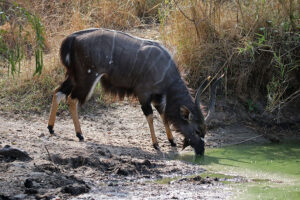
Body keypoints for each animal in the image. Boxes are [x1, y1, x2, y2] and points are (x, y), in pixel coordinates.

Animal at [47, 28, 223, 155]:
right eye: (197, 130)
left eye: (205, 131)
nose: (201, 151)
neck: (166, 71)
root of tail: (72, 39)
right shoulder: (143, 93)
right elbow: (150, 116)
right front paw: (156, 144)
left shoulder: (158, 97)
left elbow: (163, 115)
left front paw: (171, 140)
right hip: (87, 77)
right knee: (72, 98)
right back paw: (79, 134)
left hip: (73, 76)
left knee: (58, 92)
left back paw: (51, 128)